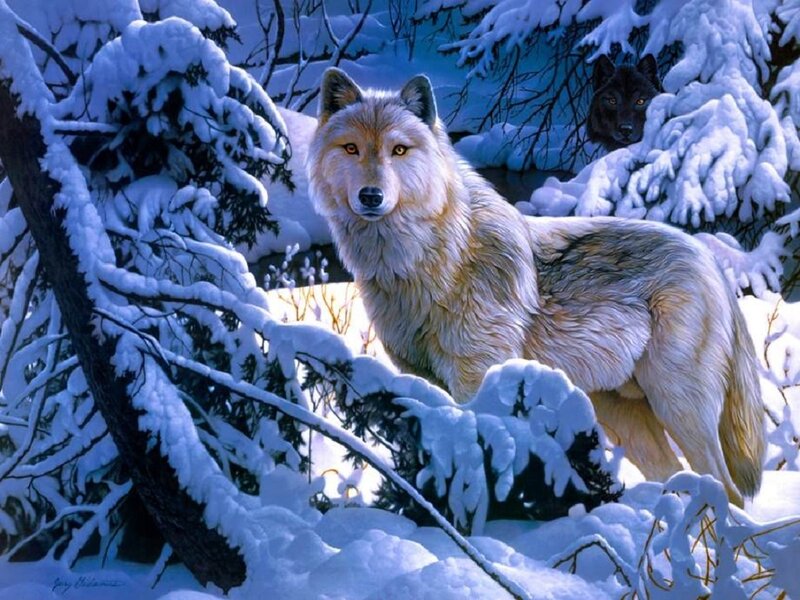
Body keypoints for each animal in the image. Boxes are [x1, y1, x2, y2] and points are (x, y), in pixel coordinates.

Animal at [307, 68, 765, 506]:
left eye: (399, 150)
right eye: (351, 148)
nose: (371, 196)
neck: (428, 261)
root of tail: (709, 260)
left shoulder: (477, 379)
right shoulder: (419, 379)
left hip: (678, 407)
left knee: (728, 491)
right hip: (625, 417)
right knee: (678, 478)